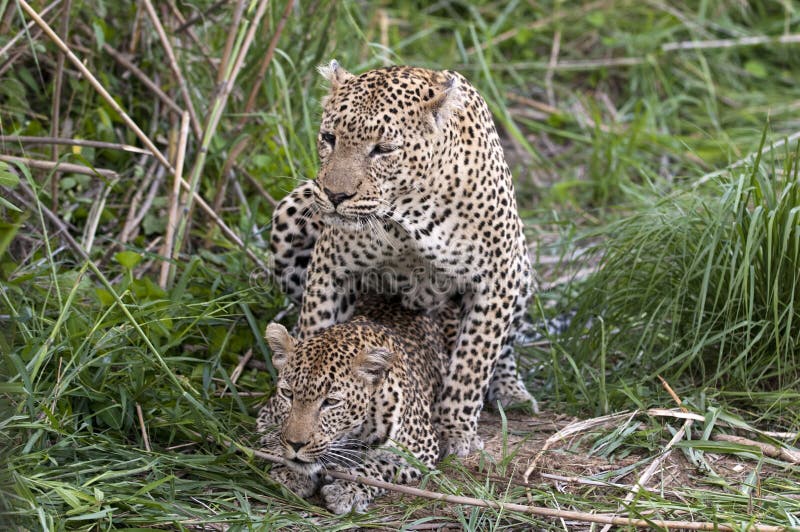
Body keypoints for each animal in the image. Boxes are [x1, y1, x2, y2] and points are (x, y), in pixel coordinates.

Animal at [255, 298, 444, 512]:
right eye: (288, 394)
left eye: (331, 402)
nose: (296, 444)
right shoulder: (266, 415)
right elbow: (274, 440)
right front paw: (291, 472)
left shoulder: (422, 451)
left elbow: (380, 465)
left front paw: (347, 490)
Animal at [268, 59, 536, 458]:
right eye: (329, 138)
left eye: (383, 149)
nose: (334, 195)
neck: (409, 210)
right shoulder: (331, 266)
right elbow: (318, 327)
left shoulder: (497, 277)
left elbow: (473, 363)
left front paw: (454, 430)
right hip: (291, 210)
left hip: (522, 268)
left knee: (502, 349)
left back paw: (510, 391)